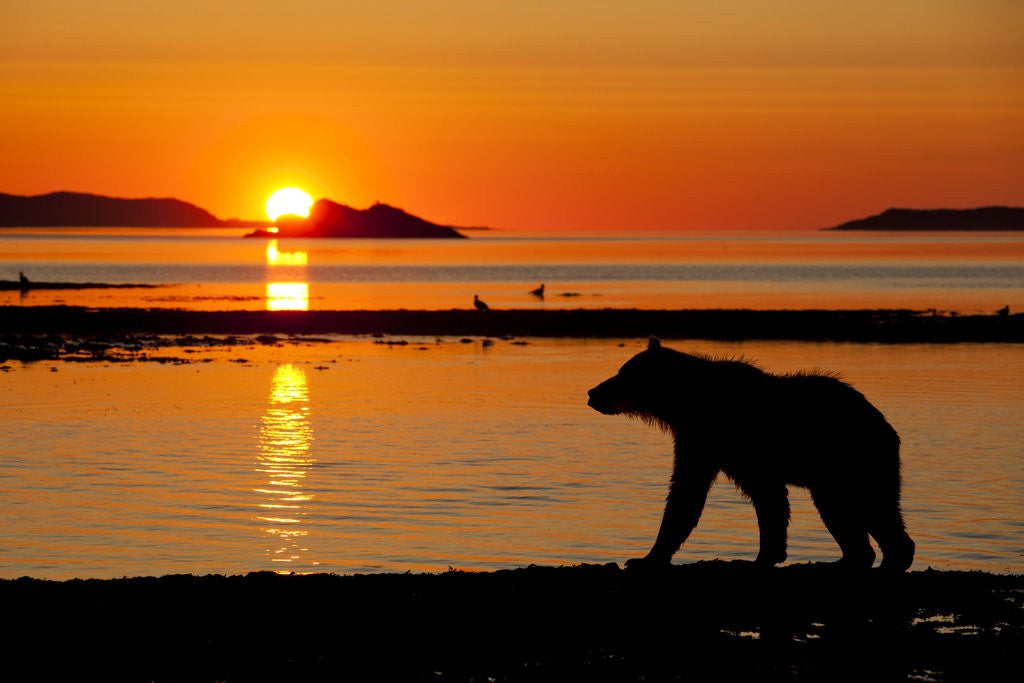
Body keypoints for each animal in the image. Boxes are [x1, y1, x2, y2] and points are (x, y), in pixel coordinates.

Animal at [587, 337, 915, 572]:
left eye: (622, 373)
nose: (592, 392)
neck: (685, 402)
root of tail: (886, 425)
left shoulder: (726, 441)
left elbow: (694, 494)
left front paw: (646, 558)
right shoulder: (705, 443)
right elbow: (693, 492)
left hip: (853, 458)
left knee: (867, 506)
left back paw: (882, 558)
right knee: (862, 510)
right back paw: (855, 558)